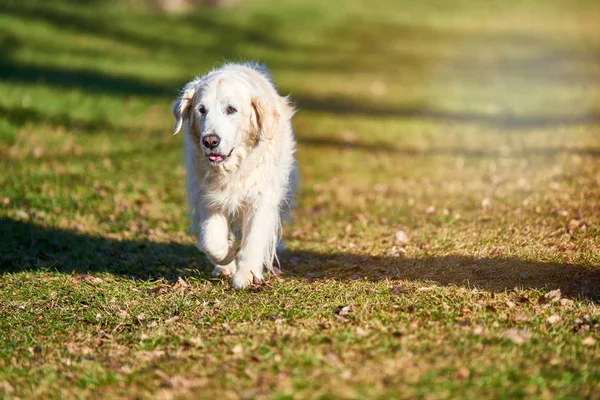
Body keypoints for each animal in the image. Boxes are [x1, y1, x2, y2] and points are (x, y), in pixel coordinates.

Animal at [172, 61, 296, 288]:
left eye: (231, 109)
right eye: (201, 110)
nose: (210, 141)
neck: (232, 170)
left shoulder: (261, 199)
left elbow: (254, 239)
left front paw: (246, 275)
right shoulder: (207, 197)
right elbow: (212, 242)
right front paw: (227, 256)